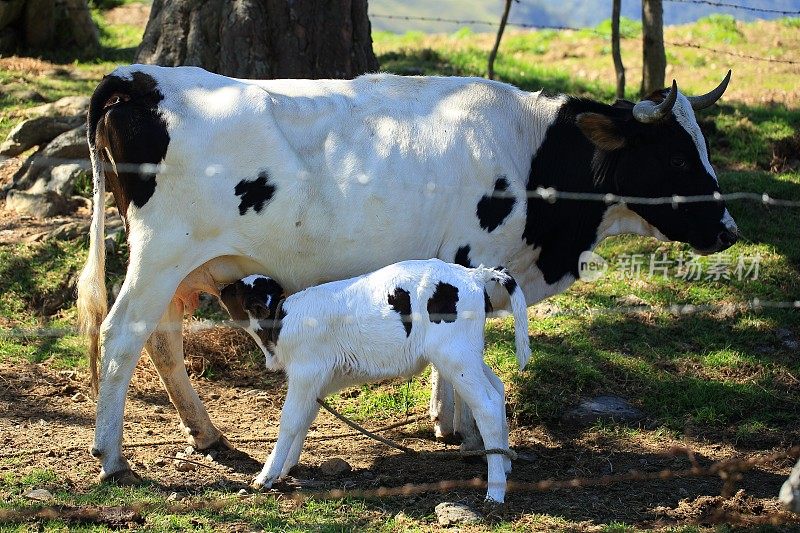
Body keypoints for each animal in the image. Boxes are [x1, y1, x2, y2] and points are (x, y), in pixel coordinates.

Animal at [219, 258, 532, 502]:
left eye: (238, 289)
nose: (222, 288)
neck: (282, 317)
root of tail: (472, 274)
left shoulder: (306, 372)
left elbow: (290, 421)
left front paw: (266, 476)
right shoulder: (317, 380)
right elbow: (306, 418)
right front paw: (286, 467)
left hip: (455, 356)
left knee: (487, 405)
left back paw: (495, 491)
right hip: (467, 355)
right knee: (498, 389)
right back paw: (503, 462)